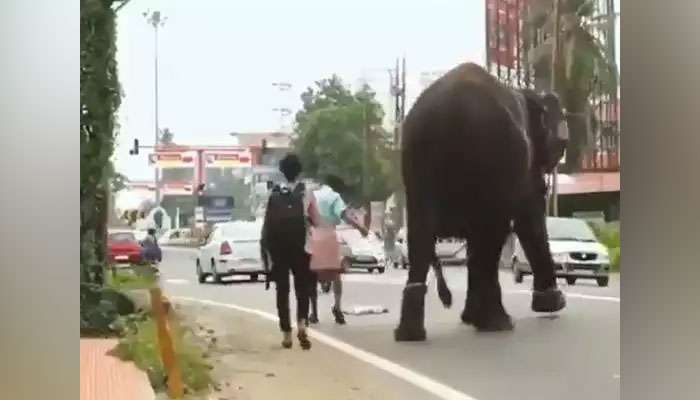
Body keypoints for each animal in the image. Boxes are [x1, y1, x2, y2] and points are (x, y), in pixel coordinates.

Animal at [394, 62, 568, 340]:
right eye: (561, 145)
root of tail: (448, 111)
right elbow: (528, 217)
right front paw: (553, 303)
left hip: (416, 161)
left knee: (421, 235)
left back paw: (411, 334)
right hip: (492, 153)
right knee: (491, 234)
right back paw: (498, 323)